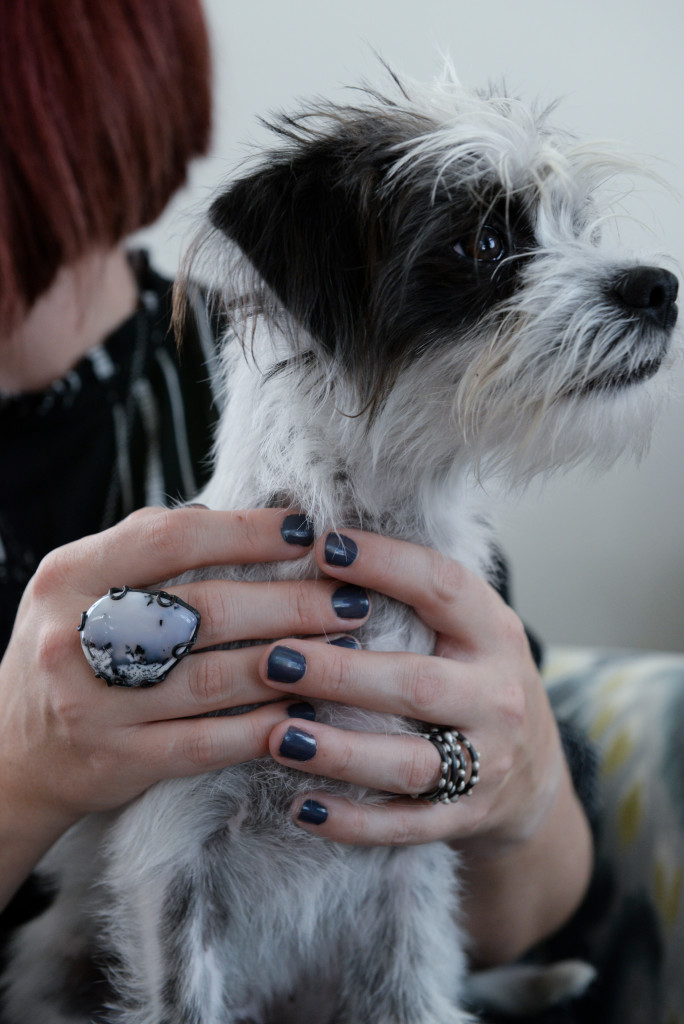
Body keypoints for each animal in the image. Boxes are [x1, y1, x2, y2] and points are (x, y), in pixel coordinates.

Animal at [3, 72, 679, 1024]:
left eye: (573, 226)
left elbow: (418, 996)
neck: (364, 525)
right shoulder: (172, 869)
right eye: (484, 241)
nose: (661, 286)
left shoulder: (408, 888)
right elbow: (183, 994)